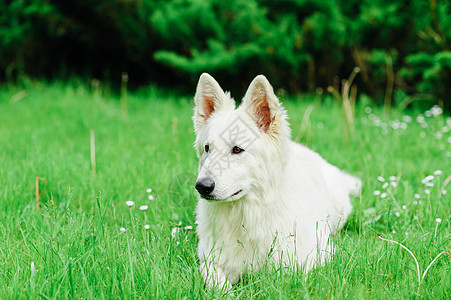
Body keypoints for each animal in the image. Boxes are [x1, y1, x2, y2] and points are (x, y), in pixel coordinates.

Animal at [192, 73, 362, 290]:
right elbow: (213, 277)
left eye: (237, 149)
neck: (248, 214)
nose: (202, 187)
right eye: (207, 148)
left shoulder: (307, 259)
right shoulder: (210, 259)